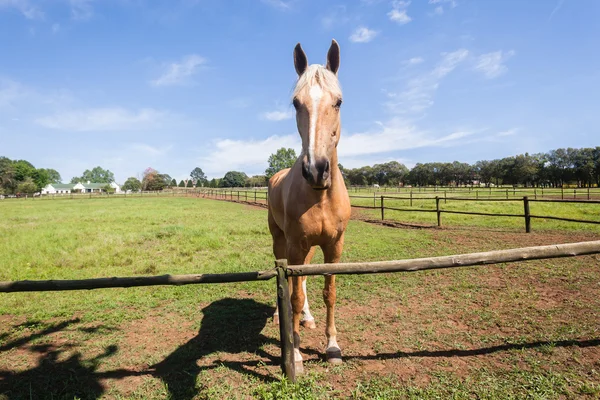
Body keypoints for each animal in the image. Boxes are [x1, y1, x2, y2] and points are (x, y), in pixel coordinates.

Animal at [268, 39, 352, 374]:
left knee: (302, 282)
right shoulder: (294, 246)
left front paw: (332, 346)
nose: (316, 169)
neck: (320, 196)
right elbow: (291, 295)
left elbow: (329, 292)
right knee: (292, 285)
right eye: (295, 103)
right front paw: (295, 354)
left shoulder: (333, 246)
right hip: (282, 242)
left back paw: (308, 317)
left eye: (339, 102)